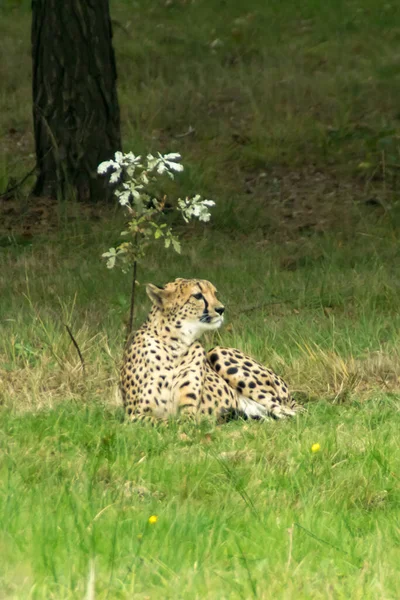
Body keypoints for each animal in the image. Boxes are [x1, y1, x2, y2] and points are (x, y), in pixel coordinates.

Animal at [120, 278, 298, 424]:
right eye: (198, 295)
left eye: (214, 293)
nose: (221, 309)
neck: (175, 346)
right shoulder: (132, 415)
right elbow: (161, 422)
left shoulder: (189, 411)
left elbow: (179, 422)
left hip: (217, 352)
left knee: (291, 412)